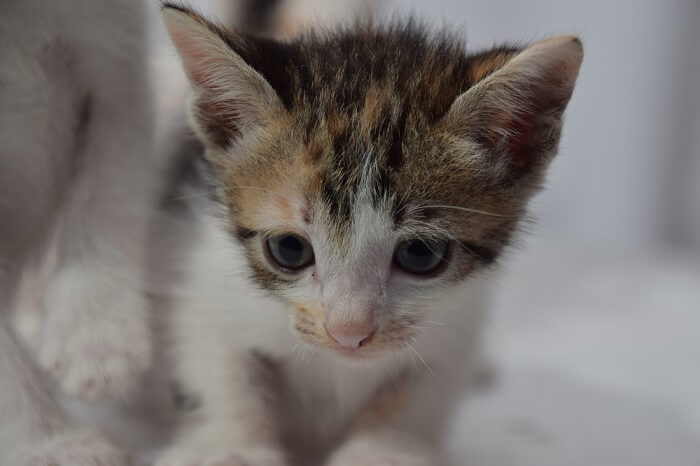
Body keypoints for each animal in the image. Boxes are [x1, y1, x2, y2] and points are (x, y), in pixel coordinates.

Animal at [149, 4, 584, 466]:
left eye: (421, 253)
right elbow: (217, 362)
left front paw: (384, 448)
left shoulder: (462, 314)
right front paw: (230, 445)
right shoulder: (199, 269)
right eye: (288, 249)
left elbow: (425, 383)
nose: (348, 333)